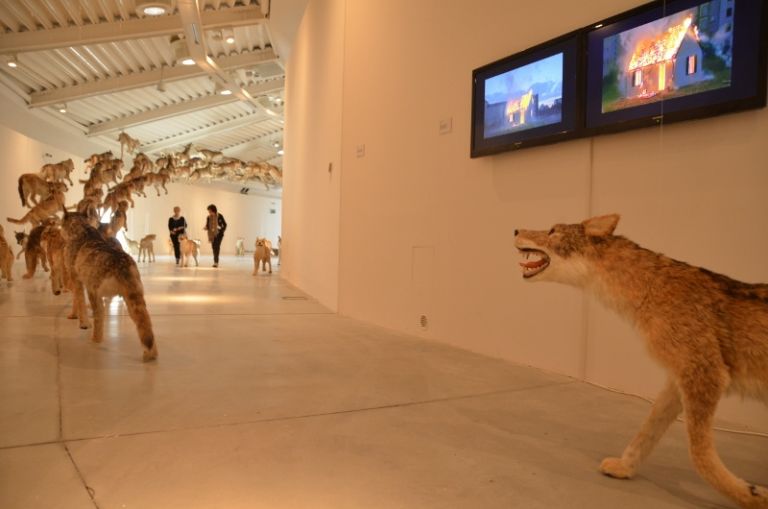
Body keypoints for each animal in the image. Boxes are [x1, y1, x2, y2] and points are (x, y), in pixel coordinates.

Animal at [62, 210, 158, 362]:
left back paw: (95, 340)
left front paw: (79, 320)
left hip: (94, 292)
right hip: (134, 301)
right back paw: (150, 354)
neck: (83, 228)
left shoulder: (76, 280)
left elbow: (78, 302)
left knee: (99, 316)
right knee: (145, 325)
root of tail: (122, 264)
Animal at [516, 214, 768, 508]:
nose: (515, 230)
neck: (650, 287)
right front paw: (624, 467)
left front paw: (752, 495)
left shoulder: (705, 375)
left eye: (552, 230)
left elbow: (699, 456)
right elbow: (647, 431)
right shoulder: (677, 381)